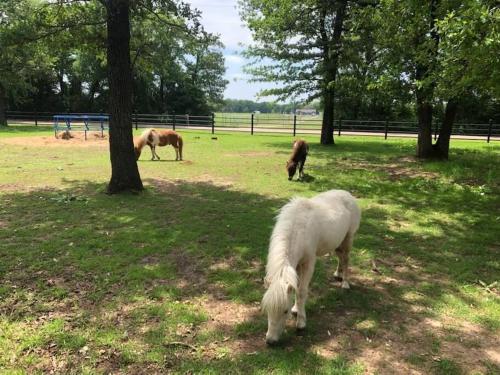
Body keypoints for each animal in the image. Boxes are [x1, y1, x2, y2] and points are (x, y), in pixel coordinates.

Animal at [262, 189, 360, 346]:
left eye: (285, 311)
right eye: (267, 310)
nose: (270, 341)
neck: (298, 229)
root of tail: (347, 194)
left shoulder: (308, 263)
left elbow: (302, 291)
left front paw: (301, 323)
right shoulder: (297, 264)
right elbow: (296, 288)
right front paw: (296, 309)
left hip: (348, 238)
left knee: (346, 259)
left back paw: (345, 283)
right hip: (337, 242)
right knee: (340, 257)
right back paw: (337, 274)